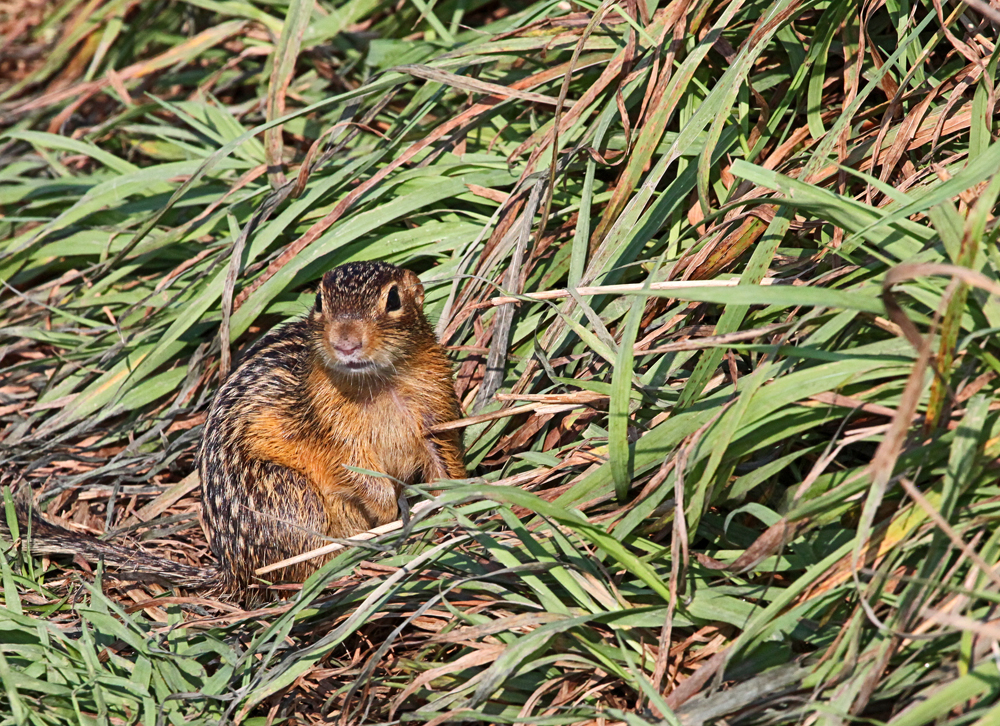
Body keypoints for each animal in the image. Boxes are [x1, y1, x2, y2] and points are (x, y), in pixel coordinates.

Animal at [5, 264, 466, 600]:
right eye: (320, 301)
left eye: (393, 299)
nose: (346, 341)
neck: (379, 385)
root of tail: (231, 570)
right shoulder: (335, 436)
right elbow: (358, 474)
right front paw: (391, 513)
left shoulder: (438, 413)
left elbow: (447, 463)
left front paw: (458, 506)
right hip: (293, 498)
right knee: (296, 571)